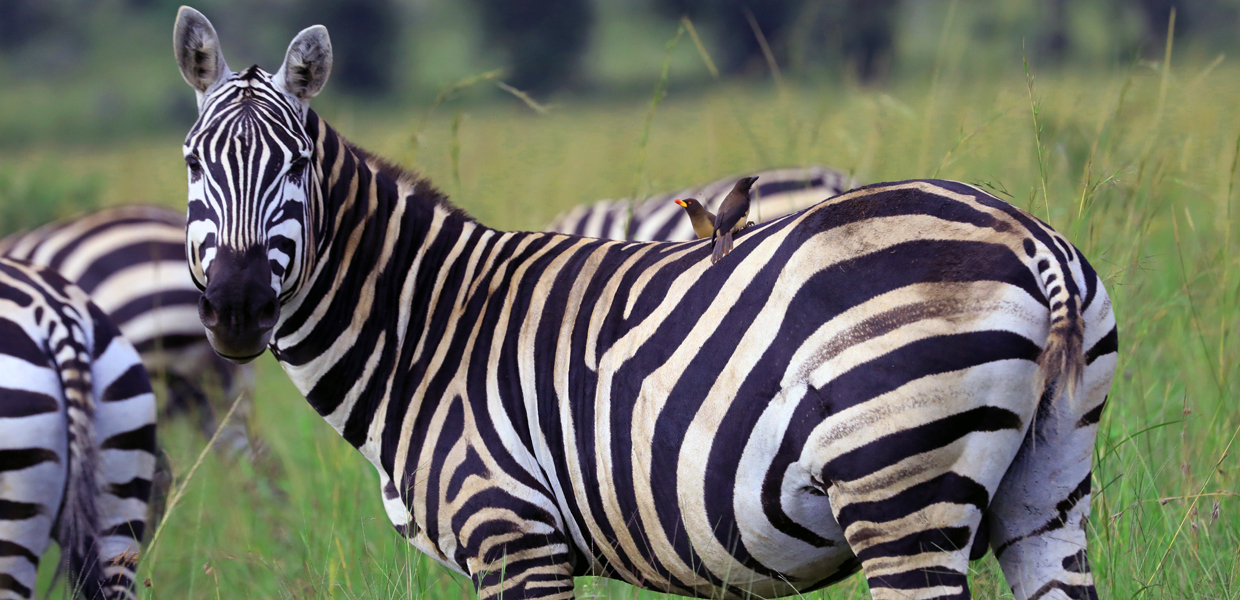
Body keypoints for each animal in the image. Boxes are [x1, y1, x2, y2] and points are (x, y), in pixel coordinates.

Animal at [172, 8, 1116, 600]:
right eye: (191, 163)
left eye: (296, 166)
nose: (236, 308)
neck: (423, 333)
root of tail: (1028, 235)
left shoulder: (513, 538)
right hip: (1046, 490)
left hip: (900, 491)